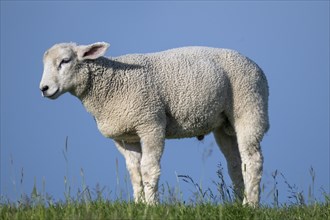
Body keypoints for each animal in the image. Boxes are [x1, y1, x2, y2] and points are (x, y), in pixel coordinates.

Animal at [40, 41, 270, 206]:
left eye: (65, 61)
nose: (44, 88)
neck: (111, 84)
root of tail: (256, 66)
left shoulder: (150, 123)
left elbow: (148, 169)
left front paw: (151, 206)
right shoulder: (124, 136)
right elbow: (135, 173)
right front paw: (139, 204)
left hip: (250, 106)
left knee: (253, 160)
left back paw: (250, 205)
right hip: (224, 125)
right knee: (236, 163)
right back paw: (238, 202)